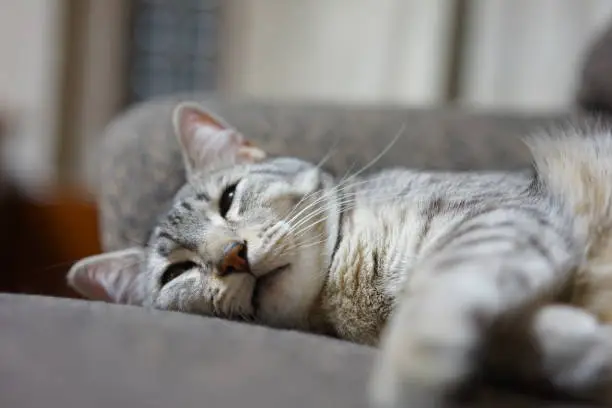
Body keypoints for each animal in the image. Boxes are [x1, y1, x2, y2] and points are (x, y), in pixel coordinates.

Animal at [69, 102, 612, 408]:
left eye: (229, 197)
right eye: (176, 272)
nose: (232, 256)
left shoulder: (503, 215)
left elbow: (439, 291)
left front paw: (412, 373)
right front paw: (577, 349)